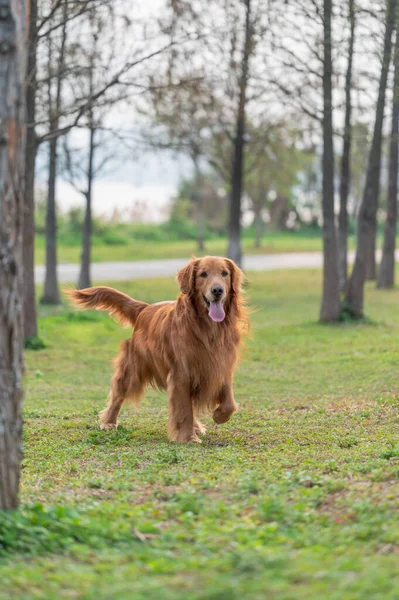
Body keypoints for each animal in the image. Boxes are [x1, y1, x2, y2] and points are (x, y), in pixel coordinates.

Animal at [67, 255, 248, 442]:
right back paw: (109, 422)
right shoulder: (181, 373)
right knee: (118, 394)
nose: (217, 290)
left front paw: (218, 416)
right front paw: (188, 437)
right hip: (133, 369)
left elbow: (229, 403)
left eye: (224, 273)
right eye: (203, 274)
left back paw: (197, 426)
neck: (208, 329)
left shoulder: (221, 366)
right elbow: (184, 410)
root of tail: (144, 308)